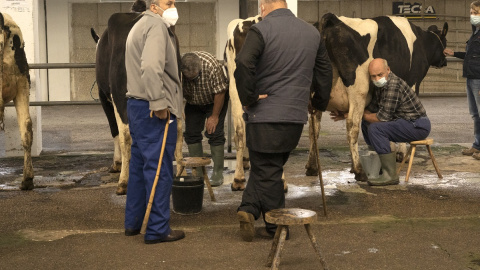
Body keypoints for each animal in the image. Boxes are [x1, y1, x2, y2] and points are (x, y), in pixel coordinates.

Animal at [306, 13, 448, 181]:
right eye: (444, 43)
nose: (444, 61)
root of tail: (332, 19)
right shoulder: (413, 82)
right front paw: (400, 153)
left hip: (314, 95)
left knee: (314, 127)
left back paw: (312, 167)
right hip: (358, 90)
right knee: (352, 126)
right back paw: (359, 170)